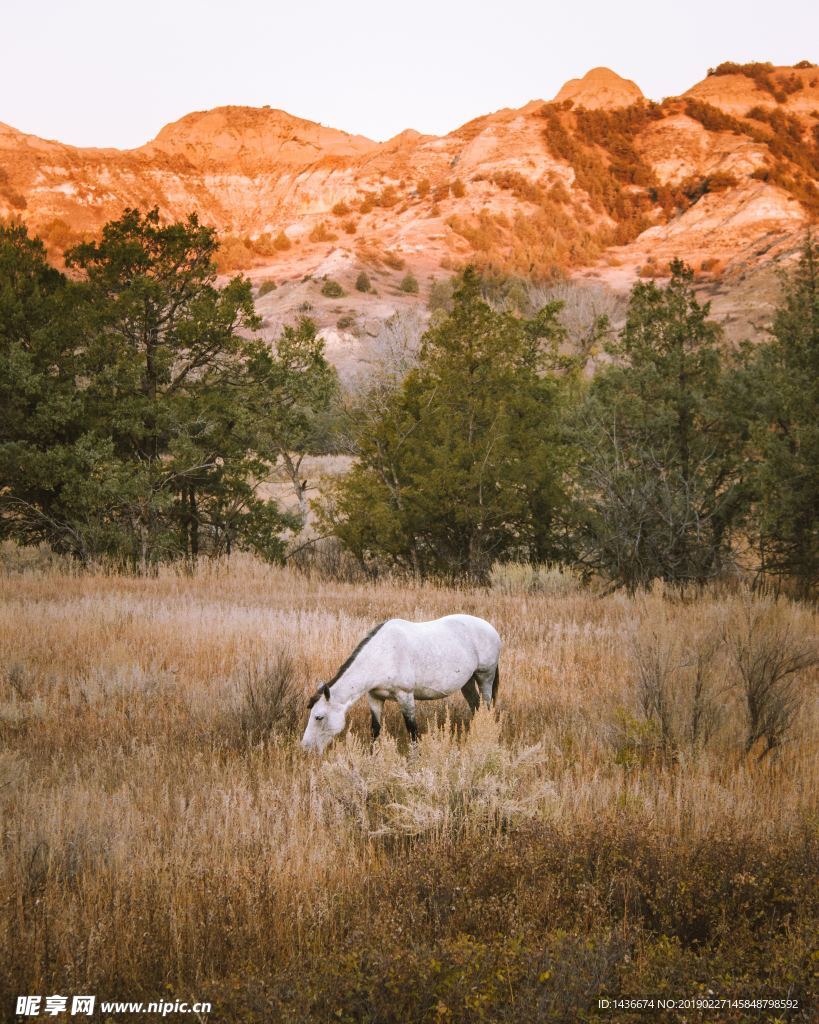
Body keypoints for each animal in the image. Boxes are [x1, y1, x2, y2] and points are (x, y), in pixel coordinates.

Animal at [298, 614, 499, 753]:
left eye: (318, 717)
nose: (305, 748)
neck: (383, 654)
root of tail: (491, 629)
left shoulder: (405, 697)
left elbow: (412, 731)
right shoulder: (375, 697)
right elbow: (375, 730)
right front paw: (373, 757)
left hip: (485, 677)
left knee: (487, 707)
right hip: (467, 682)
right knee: (476, 707)